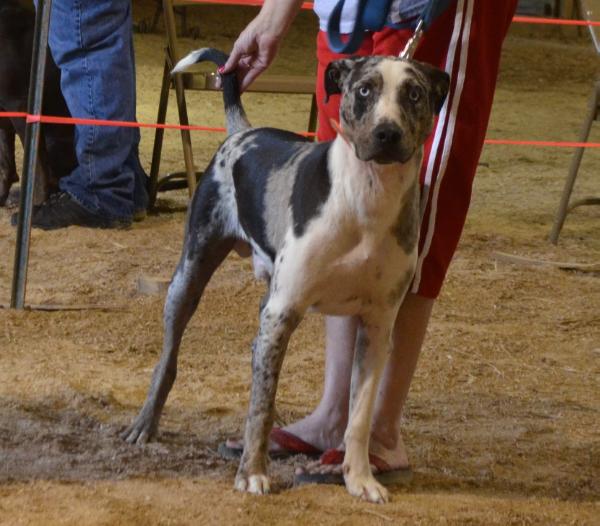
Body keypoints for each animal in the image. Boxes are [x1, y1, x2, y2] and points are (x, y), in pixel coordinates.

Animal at [122, 47, 448, 506]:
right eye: (364, 90)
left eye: (414, 94)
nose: (387, 133)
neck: (366, 198)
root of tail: (243, 131)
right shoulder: (283, 313)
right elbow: (261, 407)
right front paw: (252, 475)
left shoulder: (377, 325)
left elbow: (359, 417)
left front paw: (359, 478)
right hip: (189, 277)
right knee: (168, 360)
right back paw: (145, 424)